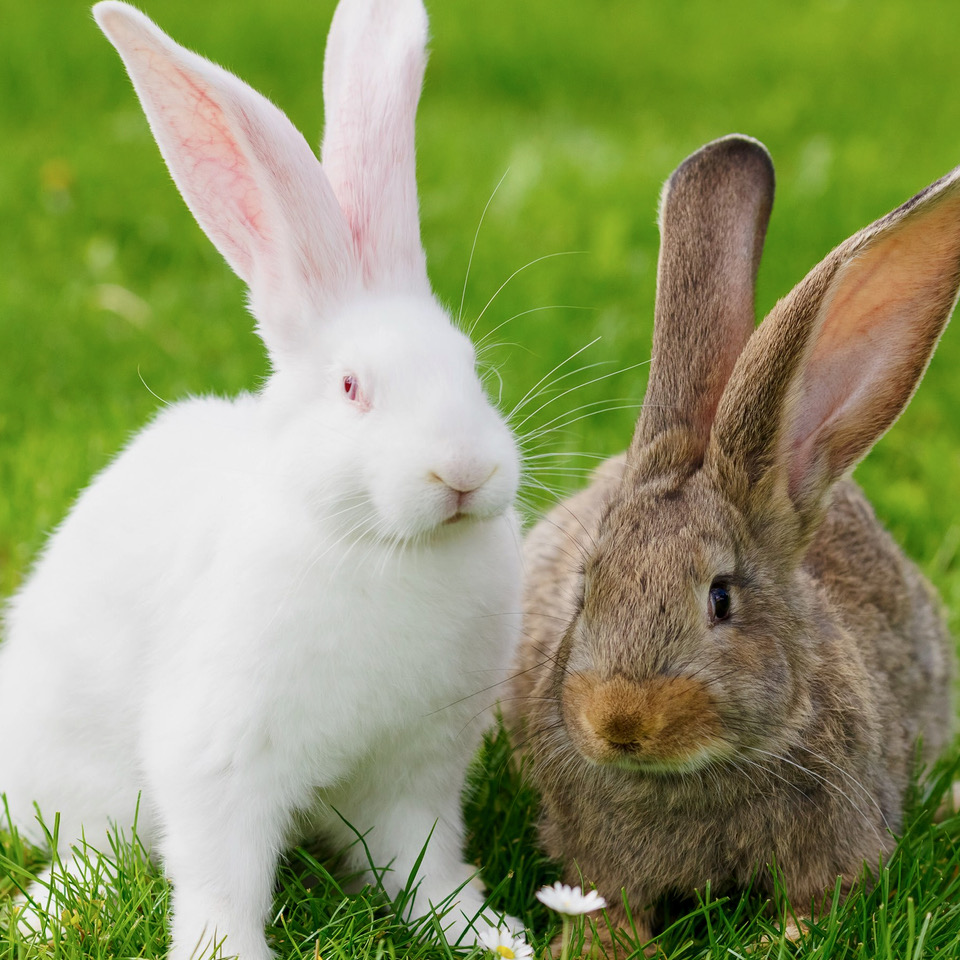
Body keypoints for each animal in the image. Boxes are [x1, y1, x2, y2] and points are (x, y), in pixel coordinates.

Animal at [0, 0, 524, 957]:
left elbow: (423, 863)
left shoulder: (416, 771)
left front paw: (482, 930)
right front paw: (224, 952)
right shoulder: (217, 757)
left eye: (475, 370)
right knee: (92, 843)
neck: (380, 545)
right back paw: (46, 910)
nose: (465, 472)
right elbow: (221, 878)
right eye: (351, 388)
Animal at [506, 133, 958, 949]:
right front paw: (597, 947)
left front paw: (777, 942)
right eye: (587, 591)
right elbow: (607, 903)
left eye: (721, 598)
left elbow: (823, 903)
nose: (621, 721)